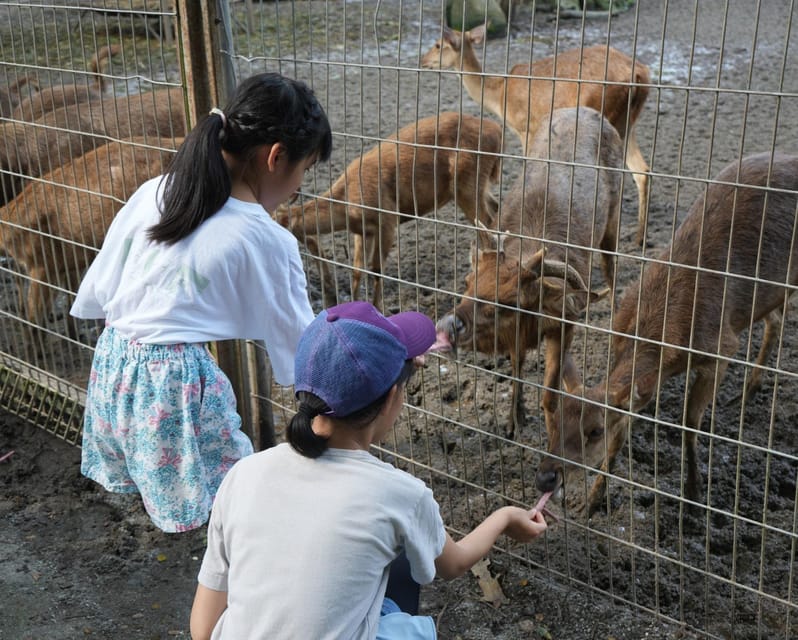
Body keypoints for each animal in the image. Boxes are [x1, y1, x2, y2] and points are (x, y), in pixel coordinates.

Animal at [274, 113, 500, 308]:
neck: (347, 204)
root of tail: (498, 136)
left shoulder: (387, 217)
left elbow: (377, 270)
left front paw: (378, 310)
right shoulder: (362, 231)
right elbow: (357, 270)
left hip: (467, 183)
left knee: (486, 224)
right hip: (477, 186)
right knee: (495, 209)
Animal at [422, 24, 652, 245]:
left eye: (438, 45)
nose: (422, 61)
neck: (500, 95)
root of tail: (640, 76)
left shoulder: (525, 126)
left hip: (604, 117)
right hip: (627, 123)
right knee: (642, 171)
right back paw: (639, 238)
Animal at [432, 107, 624, 438]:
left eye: (511, 302)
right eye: (468, 282)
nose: (449, 325)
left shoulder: (566, 321)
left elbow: (549, 394)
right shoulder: (516, 337)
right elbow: (517, 371)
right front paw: (513, 420)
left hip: (613, 219)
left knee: (610, 266)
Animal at [536, 151, 798, 516]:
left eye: (594, 430)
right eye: (553, 418)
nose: (546, 476)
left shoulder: (721, 348)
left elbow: (689, 423)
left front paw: (695, 497)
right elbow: (622, 434)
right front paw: (591, 502)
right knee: (776, 320)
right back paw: (746, 393)